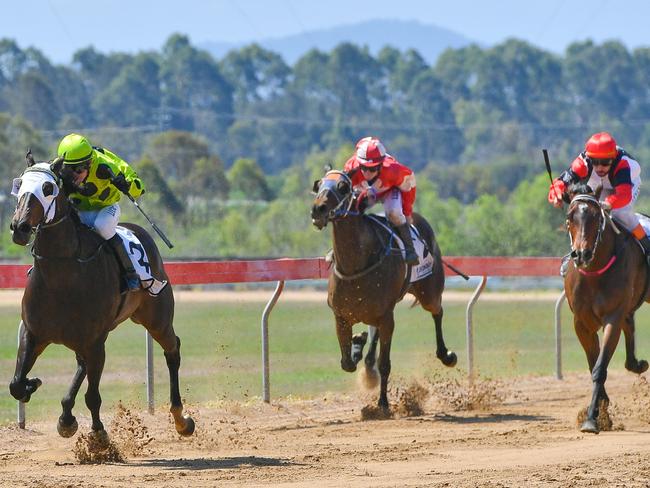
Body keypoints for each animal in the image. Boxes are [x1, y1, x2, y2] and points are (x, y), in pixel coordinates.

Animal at [8, 155, 194, 438]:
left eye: (48, 188)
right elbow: (16, 384)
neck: (62, 274)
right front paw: (33, 384)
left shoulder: (96, 342)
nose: (20, 227)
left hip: (157, 319)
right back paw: (66, 415)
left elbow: (93, 396)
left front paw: (98, 436)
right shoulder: (34, 334)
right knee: (82, 365)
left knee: (173, 350)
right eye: (19, 185)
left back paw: (181, 418)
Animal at [310, 170, 456, 410]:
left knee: (438, 311)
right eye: (319, 184)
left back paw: (446, 355)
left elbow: (385, 363)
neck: (355, 265)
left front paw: (383, 403)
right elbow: (346, 362)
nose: (318, 209)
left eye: (343, 187)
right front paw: (357, 344)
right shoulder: (341, 316)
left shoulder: (388, 317)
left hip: (429, 292)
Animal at [564, 185, 644, 432]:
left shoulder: (612, 317)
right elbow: (593, 363)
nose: (582, 254)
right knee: (630, 324)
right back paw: (636, 364)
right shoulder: (581, 323)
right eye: (570, 217)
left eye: (597, 217)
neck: (594, 273)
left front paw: (591, 418)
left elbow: (600, 368)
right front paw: (601, 411)